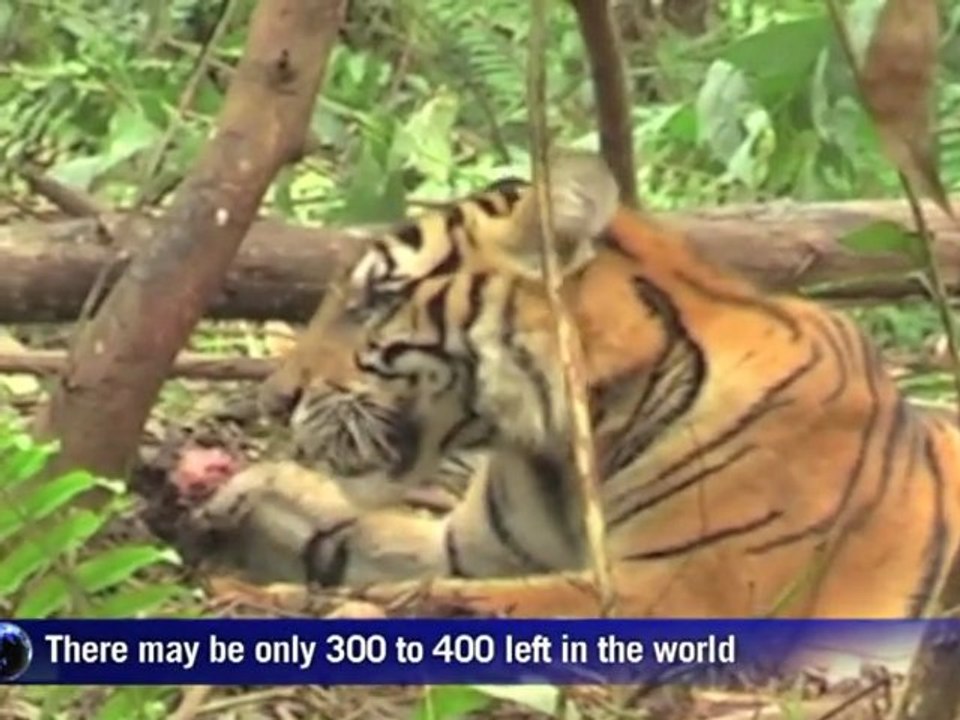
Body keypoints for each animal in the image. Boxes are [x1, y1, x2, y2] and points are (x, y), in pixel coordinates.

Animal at [248, 149, 960, 618]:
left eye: (378, 299)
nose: (275, 400)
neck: (559, 451)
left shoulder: (688, 589)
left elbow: (469, 605)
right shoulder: (470, 547)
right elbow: (368, 535)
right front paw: (256, 499)